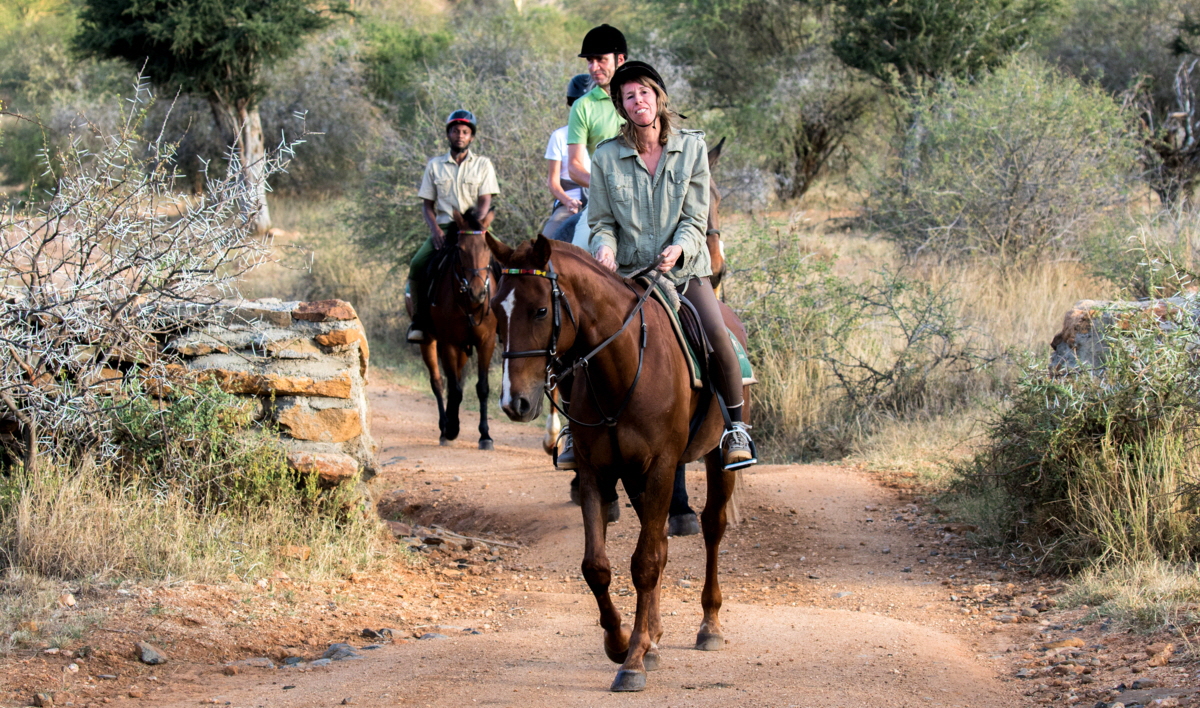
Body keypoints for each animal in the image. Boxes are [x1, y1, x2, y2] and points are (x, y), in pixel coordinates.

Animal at [405, 210, 494, 448]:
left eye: (487, 249)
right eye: (460, 250)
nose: (477, 292)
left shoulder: (486, 342)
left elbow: (482, 388)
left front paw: (485, 435)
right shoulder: (449, 343)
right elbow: (453, 388)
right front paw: (452, 429)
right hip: (429, 341)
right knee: (438, 382)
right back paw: (445, 427)